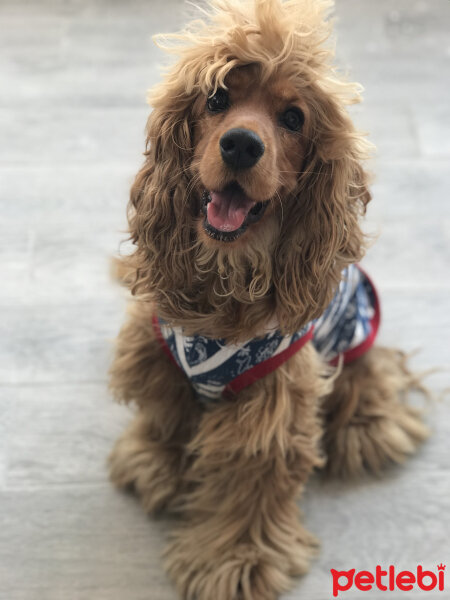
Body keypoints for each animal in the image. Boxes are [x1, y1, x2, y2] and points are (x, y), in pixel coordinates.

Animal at [109, 2, 428, 596]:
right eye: (216, 99)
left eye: (294, 118)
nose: (241, 144)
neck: (226, 277)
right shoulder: (156, 349)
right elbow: (165, 411)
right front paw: (155, 463)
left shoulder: (274, 398)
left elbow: (253, 479)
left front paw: (235, 561)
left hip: (351, 336)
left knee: (371, 372)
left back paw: (369, 427)